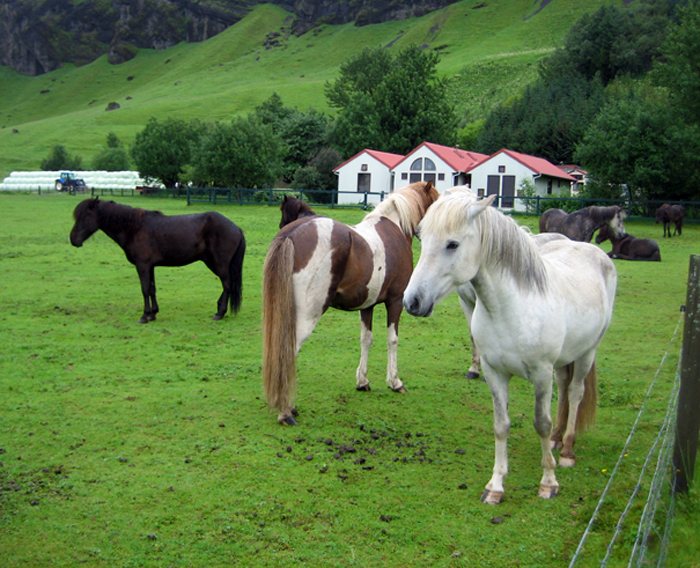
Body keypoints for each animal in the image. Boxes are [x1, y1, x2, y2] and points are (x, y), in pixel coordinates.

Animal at [70, 198, 246, 323]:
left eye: (85, 216)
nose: (73, 239)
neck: (134, 228)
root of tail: (236, 228)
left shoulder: (142, 266)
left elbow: (145, 289)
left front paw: (144, 316)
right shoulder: (150, 266)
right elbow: (152, 289)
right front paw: (153, 314)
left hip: (219, 264)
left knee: (227, 284)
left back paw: (220, 313)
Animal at [262, 180, 439, 425]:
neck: (395, 228)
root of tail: (291, 234)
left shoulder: (367, 306)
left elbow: (366, 339)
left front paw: (362, 381)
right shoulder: (395, 302)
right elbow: (392, 340)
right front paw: (395, 382)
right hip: (306, 317)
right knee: (288, 353)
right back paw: (286, 411)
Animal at [403, 187, 617, 504]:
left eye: (452, 244)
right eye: (421, 238)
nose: (412, 301)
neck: (510, 308)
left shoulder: (540, 374)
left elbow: (540, 422)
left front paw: (548, 482)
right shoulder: (496, 373)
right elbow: (501, 425)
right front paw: (495, 486)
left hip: (587, 353)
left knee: (576, 392)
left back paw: (567, 449)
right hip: (563, 361)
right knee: (564, 389)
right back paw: (556, 439)